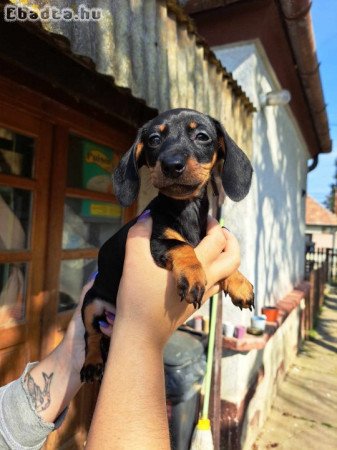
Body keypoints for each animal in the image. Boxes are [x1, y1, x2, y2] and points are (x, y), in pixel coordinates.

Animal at [80, 107, 252, 382]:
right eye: (154, 139)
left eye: (202, 136)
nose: (171, 165)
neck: (185, 207)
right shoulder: (157, 241)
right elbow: (182, 247)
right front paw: (193, 275)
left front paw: (240, 282)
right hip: (91, 302)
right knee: (91, 335)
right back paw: (92, 364)